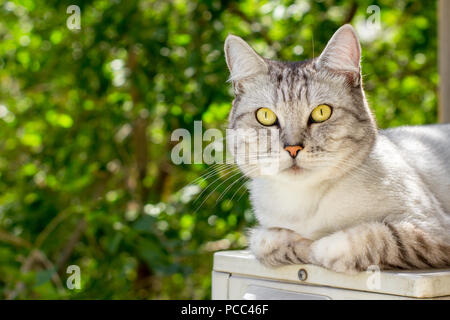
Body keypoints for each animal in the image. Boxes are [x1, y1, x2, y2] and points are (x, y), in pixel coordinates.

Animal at [223, 25, 450, 272]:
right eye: (265, 116)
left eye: (321, 112)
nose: (292, 148)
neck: (305, 203)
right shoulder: (264, 230)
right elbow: (262, 241)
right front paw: (298, 245)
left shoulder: (432, 229)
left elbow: (372, 237)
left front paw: (315, 247)